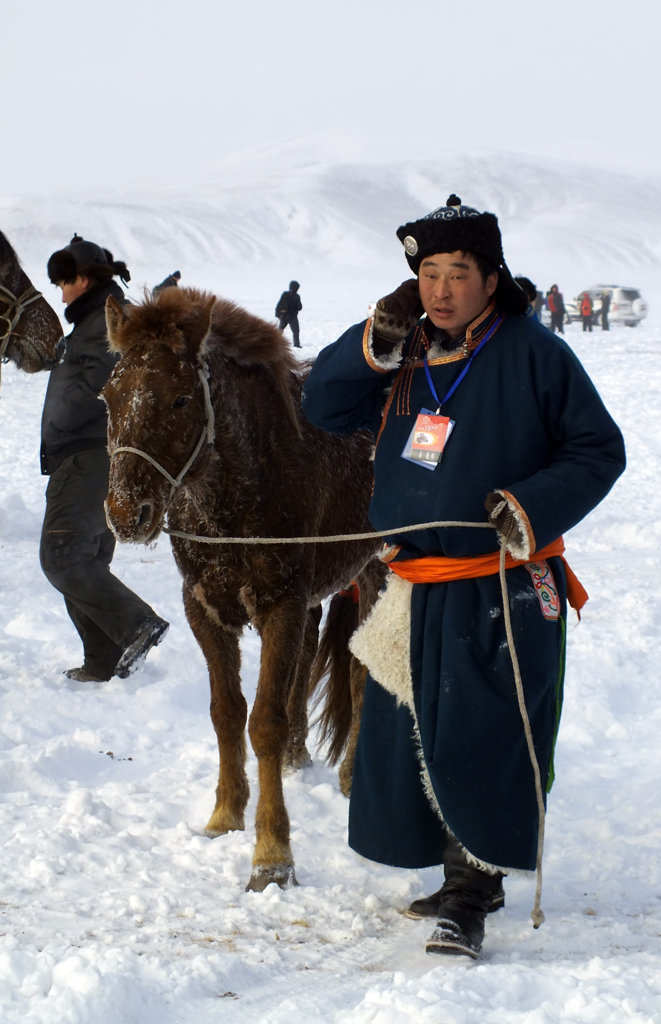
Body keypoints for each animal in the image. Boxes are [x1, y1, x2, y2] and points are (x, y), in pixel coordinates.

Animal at [103, 286, 382, 888]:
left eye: (181, 399)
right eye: (108, 396)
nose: (126, 513)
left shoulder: (281, 603)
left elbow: (264, 722)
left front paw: (272, 854)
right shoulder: (203, 606)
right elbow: (226, 711)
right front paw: (225, 813)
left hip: (377, 571)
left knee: (358, 673)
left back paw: (351, 775)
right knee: (312, 657)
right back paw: (302, 756)